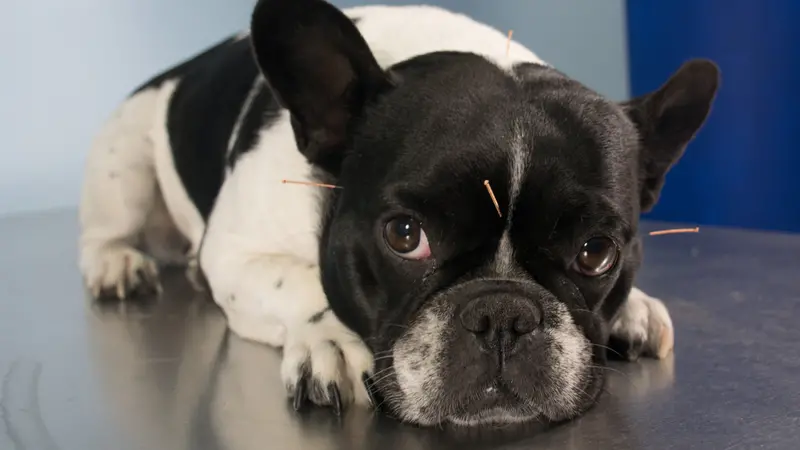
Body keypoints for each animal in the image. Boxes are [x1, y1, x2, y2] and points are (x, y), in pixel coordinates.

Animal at [79, 0, 720, 428]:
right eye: (405, 236)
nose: (504, 314)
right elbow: (301, 283)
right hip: (123, 166)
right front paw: (333, 341)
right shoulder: (235, 253)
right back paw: (115, 264)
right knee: (107, 228)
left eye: (596, 252)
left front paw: (633, 307)